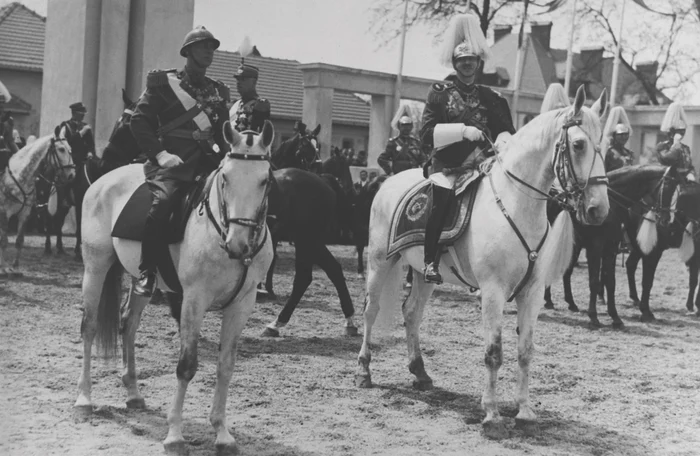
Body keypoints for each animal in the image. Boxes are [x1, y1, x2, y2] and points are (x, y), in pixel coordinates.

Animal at [0, 131, 75, 276]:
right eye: (61, 149)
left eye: (70, 148)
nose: (71, 175)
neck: (19, 176)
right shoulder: (4, 213)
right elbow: (4, 241)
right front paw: (3, 267)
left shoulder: (25, 213)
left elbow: (19, 241)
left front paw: (15, 267)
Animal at [74, 121, 275, 455]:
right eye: (225, 177)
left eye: (265, 180)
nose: (237, 244)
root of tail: (103, 180)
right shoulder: (194, 299)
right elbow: (186, 366)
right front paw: (175, 435)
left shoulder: (242, 304)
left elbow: (226, 365)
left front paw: (222, 433)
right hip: (95, 267)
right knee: (89, 327)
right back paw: (84, 399)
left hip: (141, 281)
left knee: (128, 324)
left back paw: (133, 393)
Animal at [261, 167, 357, 336]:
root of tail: (323, 181)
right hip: (311, 243)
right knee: (334, 269)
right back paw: (350, 321)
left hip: (305, 241)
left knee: (303, 278)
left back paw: (276, 323)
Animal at [355, 86, 609, 439]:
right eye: (579, 144)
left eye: (604, 145)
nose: (599, 210)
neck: (516, 205)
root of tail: (388, 182)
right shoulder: (492, 291)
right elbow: (494, 353)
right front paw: (491, 414)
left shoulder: (532, 293)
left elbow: (525, 351)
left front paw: (524, 411)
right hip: (380, 261)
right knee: (371, 310)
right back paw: (364, 370)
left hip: (423, 272)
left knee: (412, 313)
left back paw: (420, 373)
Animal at [543, 165, 678, 327]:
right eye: (667, 186)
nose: (666, 220)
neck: (611, 207)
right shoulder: (595, 248)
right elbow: (594, 281)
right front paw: (594, 316)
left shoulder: (611, 249)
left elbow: (611, 282)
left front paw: (615, 317)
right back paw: (549, 301)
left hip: (574, 245)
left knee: (566, 272)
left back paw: (571, 303)